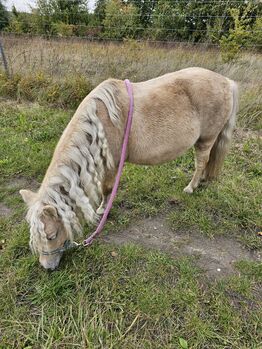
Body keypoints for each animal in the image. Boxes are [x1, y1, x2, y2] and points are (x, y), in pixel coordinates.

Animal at [19, 68, 238, 270]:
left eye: (51, 235)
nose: (47, 267)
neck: (99, 122)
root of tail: (227, 82)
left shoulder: (113, 164)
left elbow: (106, 188)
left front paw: (102, 210)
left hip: (206, 139)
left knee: (201, 162)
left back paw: (191, 187)